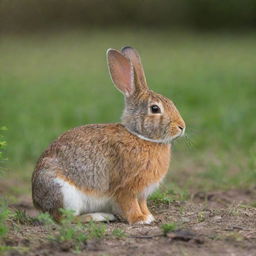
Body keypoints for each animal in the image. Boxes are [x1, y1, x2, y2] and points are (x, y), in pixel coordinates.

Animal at [32, 46, 185, 224]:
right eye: (155, 109)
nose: (182, 127)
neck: (139, 136)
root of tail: (37, 202)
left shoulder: (141, 194)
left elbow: (142, 204)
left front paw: (149, 216)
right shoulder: (126, 188)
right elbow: (130, 204)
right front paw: (140, 219)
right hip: (64, 193)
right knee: (65, 219)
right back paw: (99, 216)